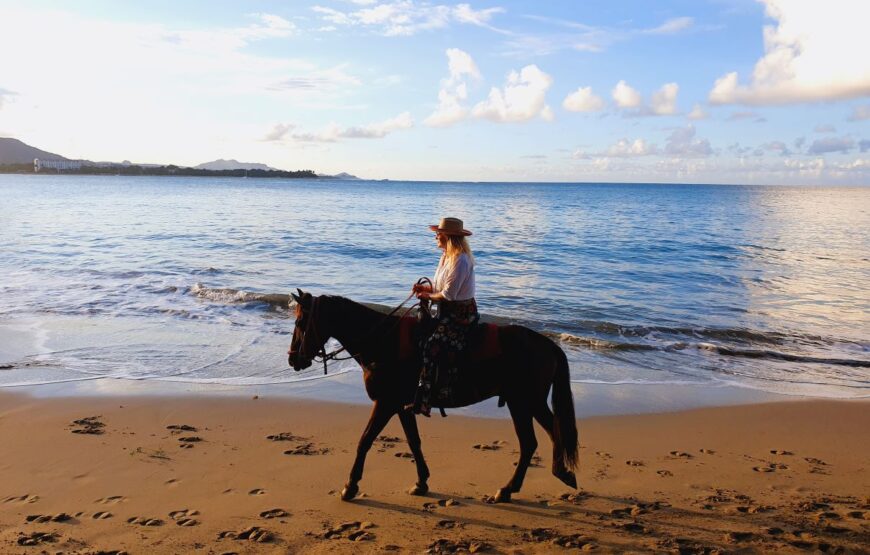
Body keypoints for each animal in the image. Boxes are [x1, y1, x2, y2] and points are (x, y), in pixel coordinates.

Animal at [290, 292, 584, 504]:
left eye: (300, 322)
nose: (293, 359)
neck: (382, 341)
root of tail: (548, 345)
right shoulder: (401, 406)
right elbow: (414, 442)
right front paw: (421, 482)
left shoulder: (385, 403)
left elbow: (365, 440)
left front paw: (350, 487)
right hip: (526, 403)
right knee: (548, 434)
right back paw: (556, 475)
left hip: (524, 402)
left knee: (532, 441)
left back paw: (511, 488)